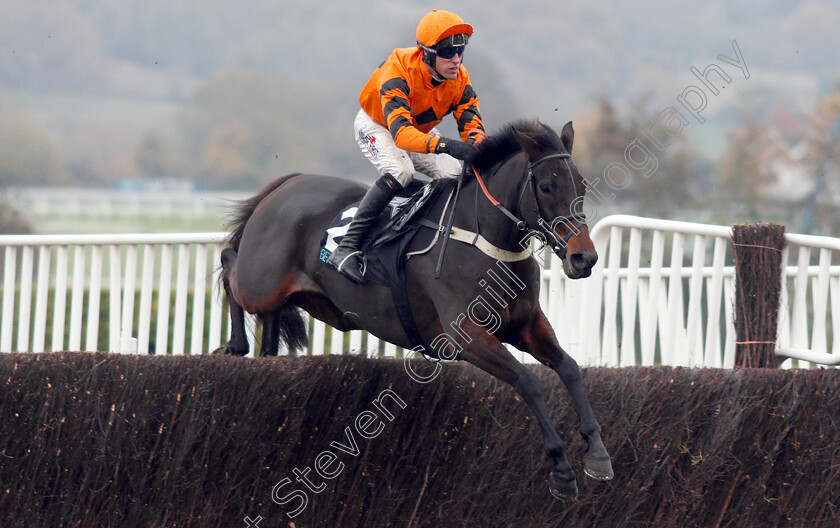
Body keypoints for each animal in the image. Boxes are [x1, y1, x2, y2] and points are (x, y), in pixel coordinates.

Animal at [213, 118, 612, 500]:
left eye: (581, 186)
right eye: (546, 187)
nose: (584, 258)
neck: (484, 238)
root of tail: (287, 184)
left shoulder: (527, 324)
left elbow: (570, 368)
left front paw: (598, 453)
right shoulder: (465, 336)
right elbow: (528, 382)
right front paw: (562, 470)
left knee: (267, 311)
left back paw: (266, 353)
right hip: (260, 282)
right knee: (229, 263)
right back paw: (235, 345)